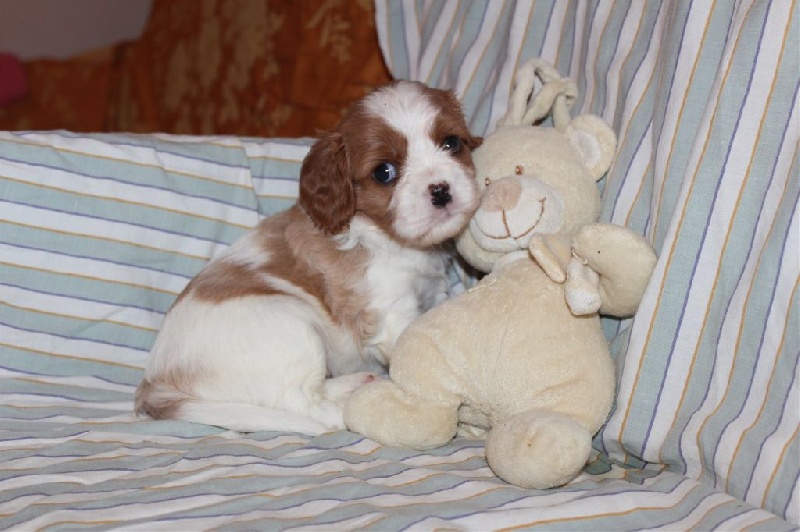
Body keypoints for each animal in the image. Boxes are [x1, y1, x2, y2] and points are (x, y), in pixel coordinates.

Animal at [135, 80, 482, 436]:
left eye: (452, 143)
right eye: (384, 172)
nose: (440, 190)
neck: (389, 239)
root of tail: (157, 383)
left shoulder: (431, 289)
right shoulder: (390, 307)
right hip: (295, 326)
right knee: (304, 405)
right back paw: (350, 408)